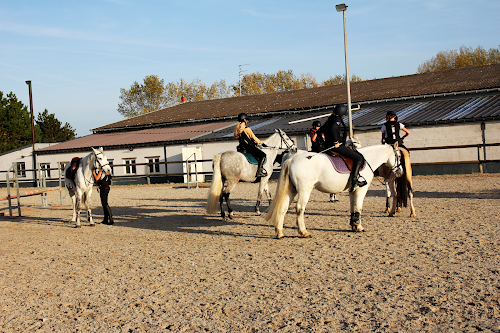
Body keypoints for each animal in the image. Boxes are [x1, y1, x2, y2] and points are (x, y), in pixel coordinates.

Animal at [266, 144, 402, 237]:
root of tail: (292, 159)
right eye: (399, 156)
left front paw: (353, 225)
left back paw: (279, 232)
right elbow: (358, 208)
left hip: (292, 190)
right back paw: (303, 232)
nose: (400, 171)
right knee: (299, 208)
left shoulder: (353, 191)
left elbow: (353, 208)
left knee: (283, 207)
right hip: (305, 189)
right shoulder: (361, 190)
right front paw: (359, 227)